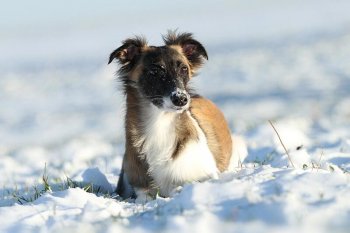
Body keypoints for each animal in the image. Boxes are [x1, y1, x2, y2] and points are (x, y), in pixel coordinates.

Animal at [109, 31, 246, 202]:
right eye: (155, 72)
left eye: (184, 69)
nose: (181, 99)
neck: (159, 124)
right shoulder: (140, 187)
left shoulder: (205, 175)